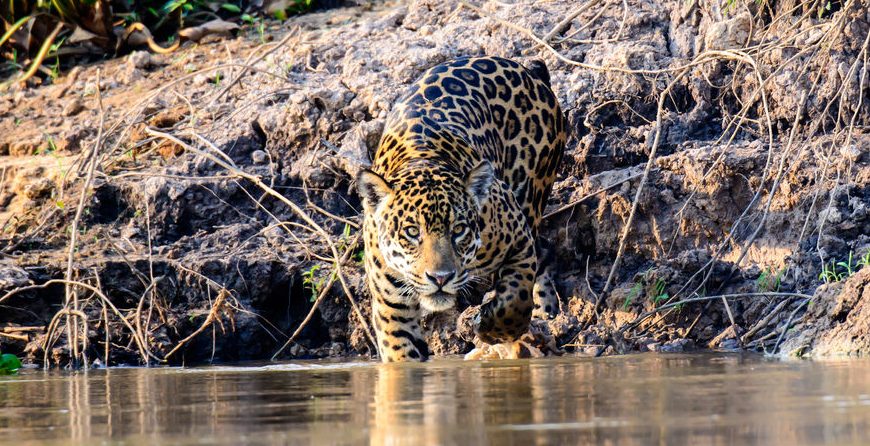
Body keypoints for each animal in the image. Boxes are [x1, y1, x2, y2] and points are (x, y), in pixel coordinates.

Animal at [356, 56, 567, 362]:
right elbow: (401, 355)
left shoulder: (517, 238)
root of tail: (529, 70)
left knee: (540, 255)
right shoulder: (392, 308)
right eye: (411, 232)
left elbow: (515, 297)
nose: (440, 278)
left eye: (458, 230)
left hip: (531, 194)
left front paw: (492, 329)